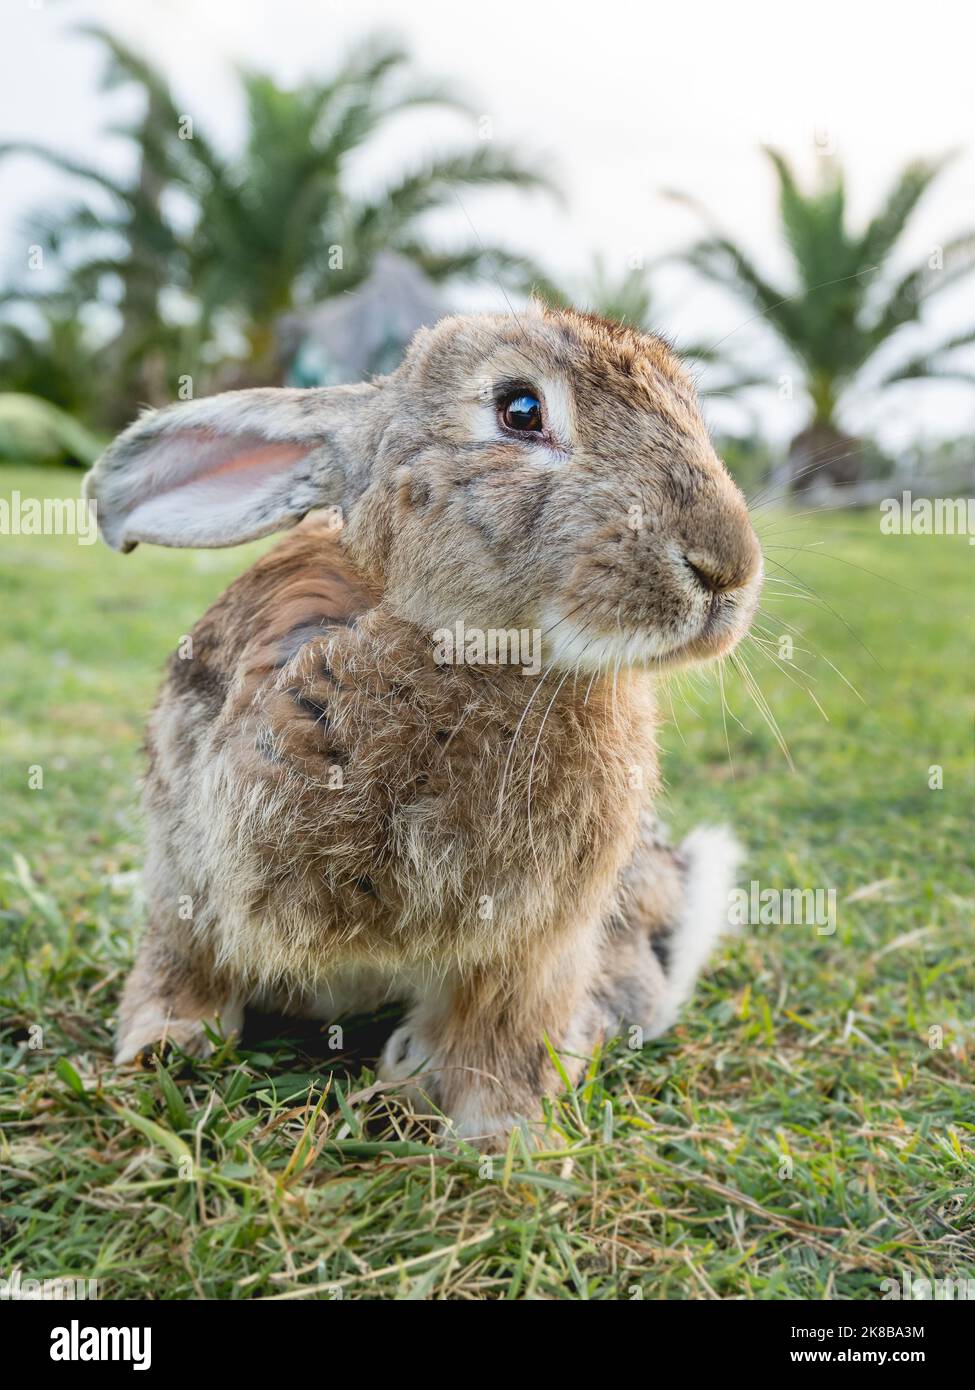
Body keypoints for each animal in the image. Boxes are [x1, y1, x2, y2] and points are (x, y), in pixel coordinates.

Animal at [85, 307, 762, 1150]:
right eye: (519, 410)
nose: (727, 569)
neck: (461, 645)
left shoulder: (533, 944)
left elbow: (499, 1033)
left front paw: (501, 1133)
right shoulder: (189, 867)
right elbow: (185, 962)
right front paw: (163, 1044)